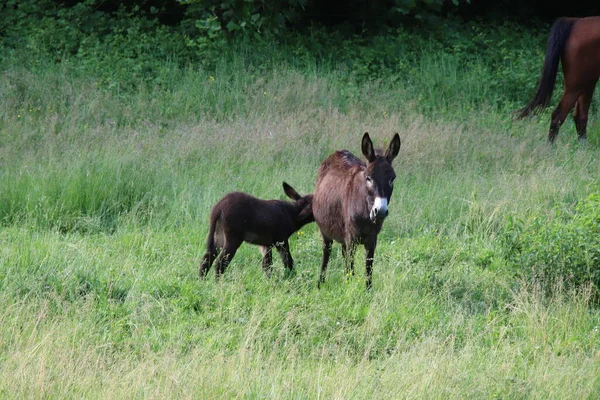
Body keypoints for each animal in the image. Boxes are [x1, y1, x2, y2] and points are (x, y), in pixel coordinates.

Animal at [312, 133, 400, 290]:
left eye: (392, 179)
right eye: (368, 178)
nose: (380, 211)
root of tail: (338, 151)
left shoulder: (372, 240)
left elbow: (368, 270)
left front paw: (367, 291)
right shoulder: (351, 240)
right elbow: (351, 270)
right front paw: (349, 290)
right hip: (326, 232)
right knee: (326, 254)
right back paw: (320, 284)